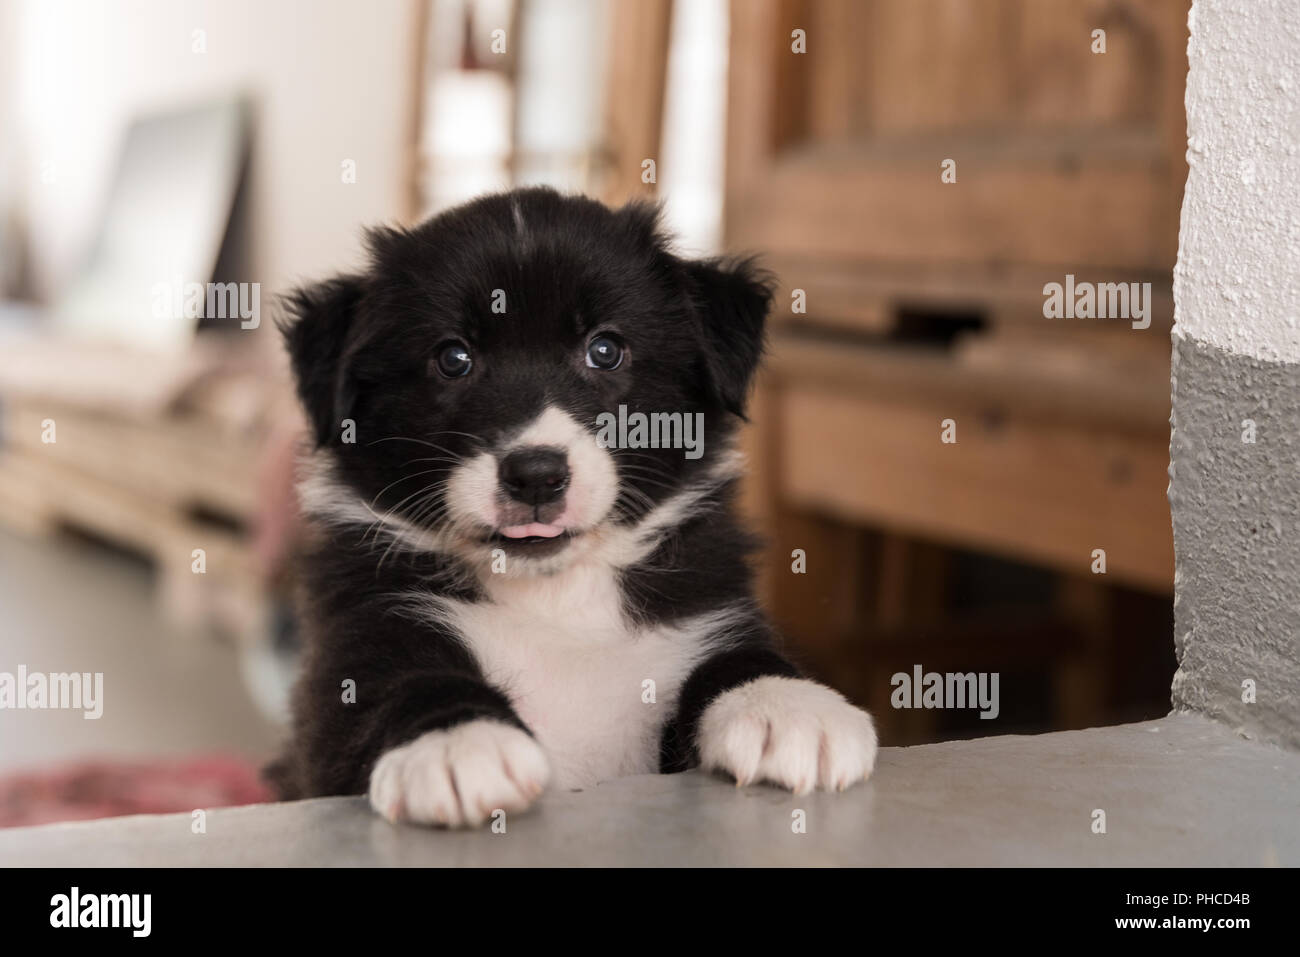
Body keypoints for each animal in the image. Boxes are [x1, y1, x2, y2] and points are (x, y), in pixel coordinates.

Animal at [271, 188, 883, 832]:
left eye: (605, 350)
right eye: (453, 357)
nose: (536, 475)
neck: (557, 598)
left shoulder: (708, 614)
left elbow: (736, 657)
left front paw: (785, 703)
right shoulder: (360, 647)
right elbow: (404, 684)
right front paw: (457, 741)